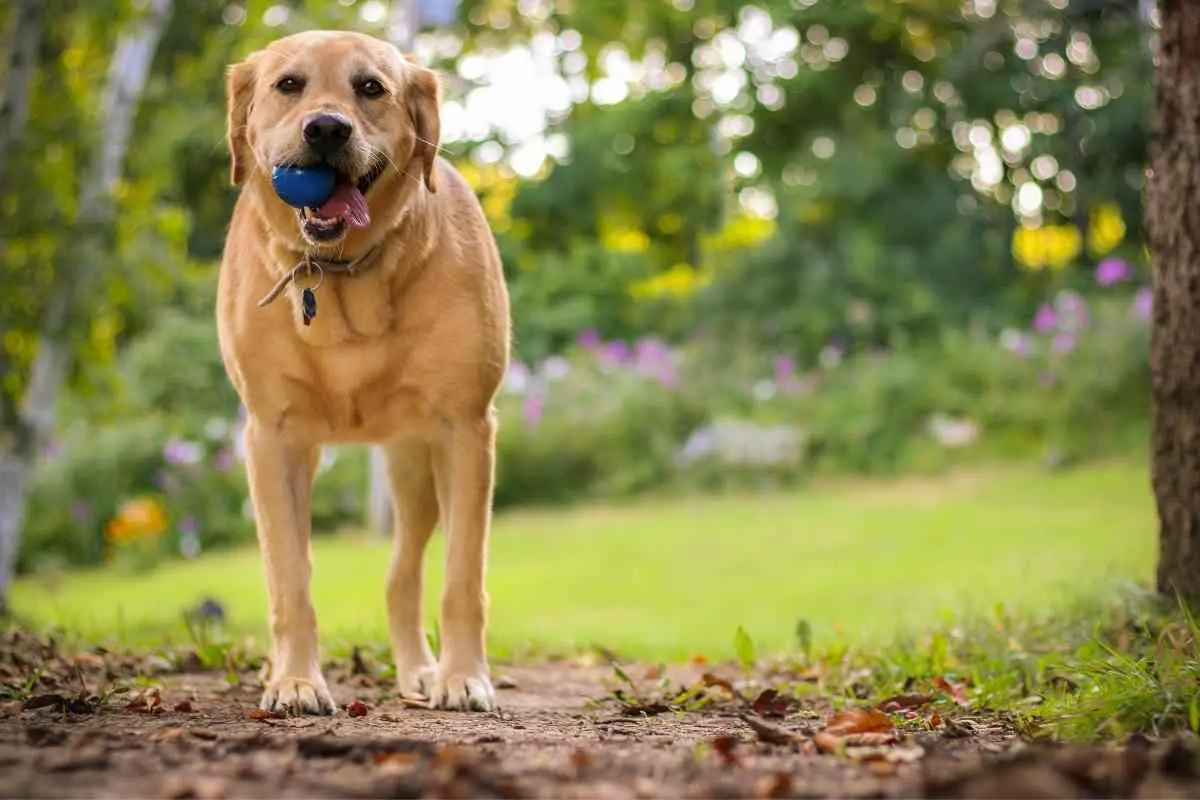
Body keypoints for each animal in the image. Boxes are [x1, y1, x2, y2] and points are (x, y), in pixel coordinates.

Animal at [218, 29, 508, 714]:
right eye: (288, 84)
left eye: (371, 87)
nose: (326, 128)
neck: (343, 271)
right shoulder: (272, 438)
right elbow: (289, 580)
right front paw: (296, 681)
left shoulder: (466, 430)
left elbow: (462, 578)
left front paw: (464, 676)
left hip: (416, 467)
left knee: (402, 574)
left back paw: (423, 671)